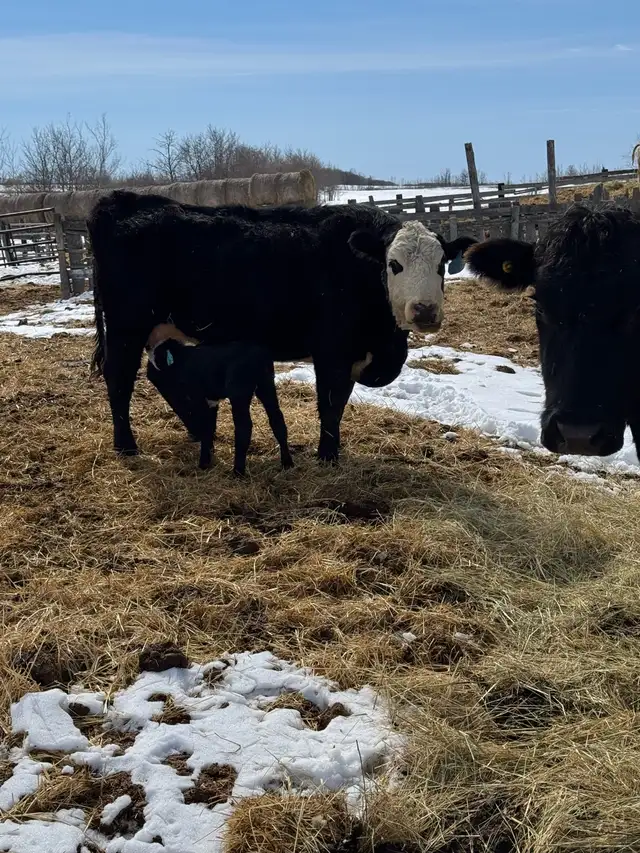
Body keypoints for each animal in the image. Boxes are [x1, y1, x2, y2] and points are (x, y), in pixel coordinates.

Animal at [88, 191, 475, 462]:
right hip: (126, 326)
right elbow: (330, 402)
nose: (424, 310)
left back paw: (196, 431)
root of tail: (120, 200)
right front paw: (327, 457)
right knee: (119, 378)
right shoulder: (331, 350)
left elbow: (341, 402)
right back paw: (126, 446)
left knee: (159, 374)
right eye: (394, 264)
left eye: (441, 264)